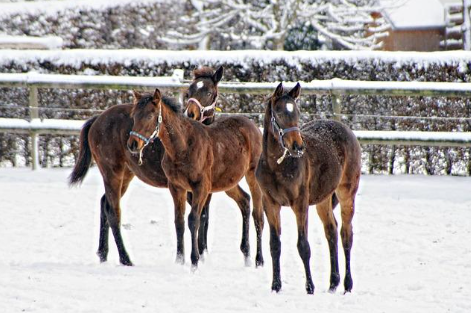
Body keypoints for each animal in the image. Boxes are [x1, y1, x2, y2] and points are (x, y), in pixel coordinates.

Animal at [126, 88, 266, 268]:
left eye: (150, 115)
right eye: (134, 115)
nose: (133, 144)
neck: (183, 146)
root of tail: (253, 126)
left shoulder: (201, 188)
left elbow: (194, 220)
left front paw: (194, 261)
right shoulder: (176, 187)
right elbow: (179, 221)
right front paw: (179, 260)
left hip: (251, 176)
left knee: (258, 215)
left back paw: (259, 260)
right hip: (227, 181)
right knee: (245, 201)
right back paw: (246, 255)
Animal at [254, 82, 362, 292]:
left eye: (297, 112)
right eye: (279, 112)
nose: (297, 146)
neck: (277, 165)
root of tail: (346, 130)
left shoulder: (300, 204)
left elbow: (303, 246)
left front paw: (310, 287)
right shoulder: (270, 204)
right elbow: (274, 245)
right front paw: (276, 286)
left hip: (347, 194)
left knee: (346, 235)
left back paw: (347, 284)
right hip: (324, 199)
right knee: (331, 231)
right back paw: (333, 282)